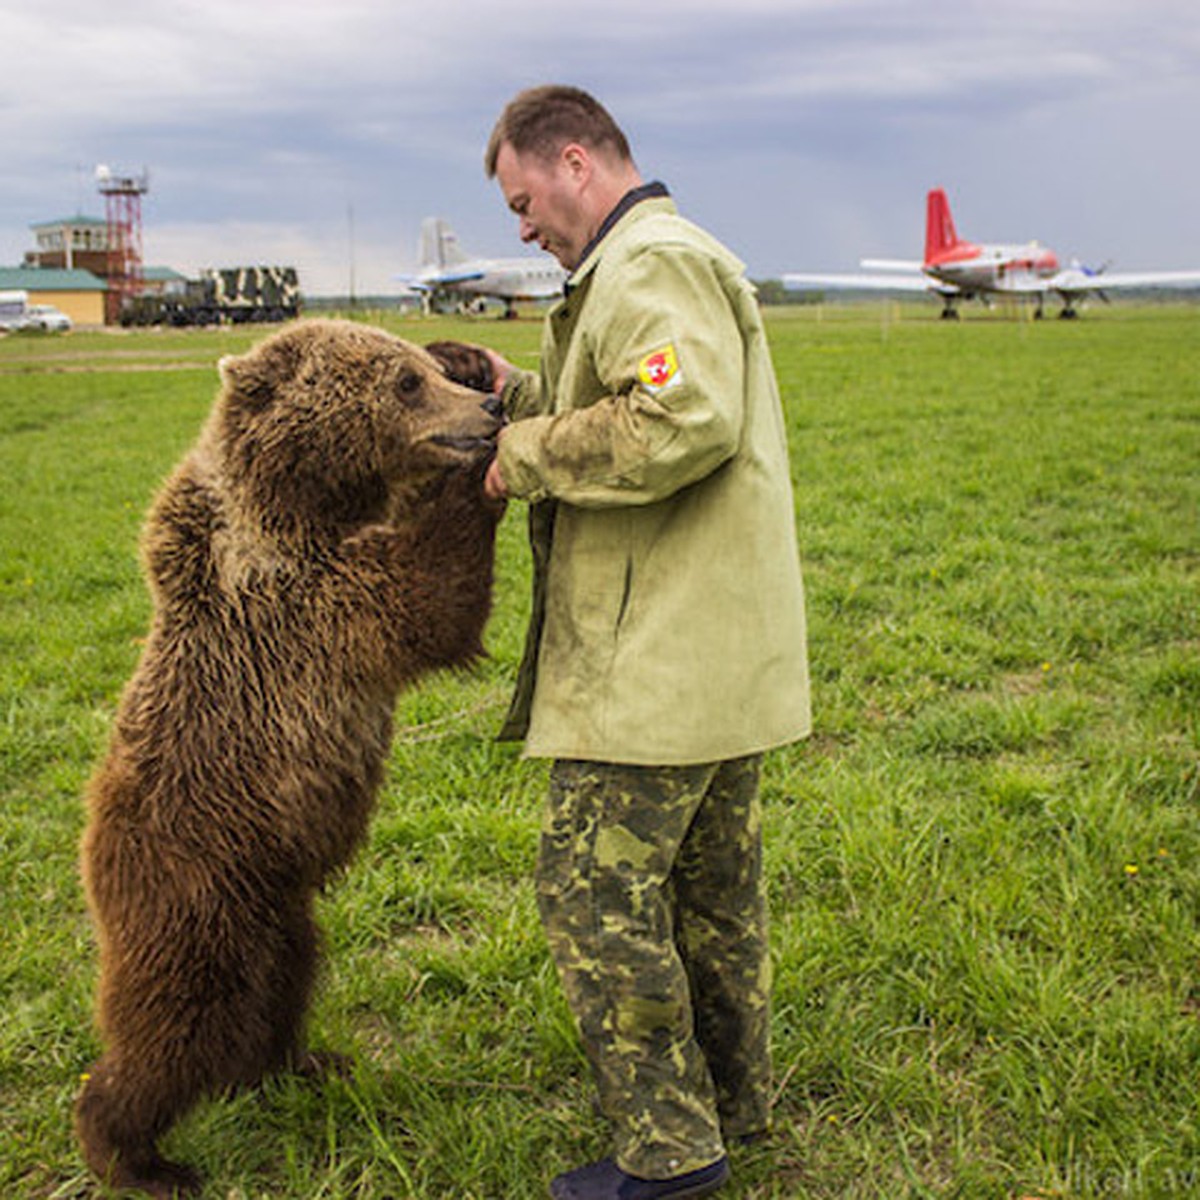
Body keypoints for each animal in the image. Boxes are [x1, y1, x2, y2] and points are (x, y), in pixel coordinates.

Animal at [73, 314, 506, 1195]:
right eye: (403, 384)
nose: (483, 412)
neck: (305, 502)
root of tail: (92, 856)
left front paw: (471, 354)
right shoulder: (300, 602)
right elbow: (428, 599)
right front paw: (473, 484)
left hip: (278, 908)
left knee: (284, 986)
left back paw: (295, 1064)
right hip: (193, 892)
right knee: (172, 1026)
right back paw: (137, 1155)